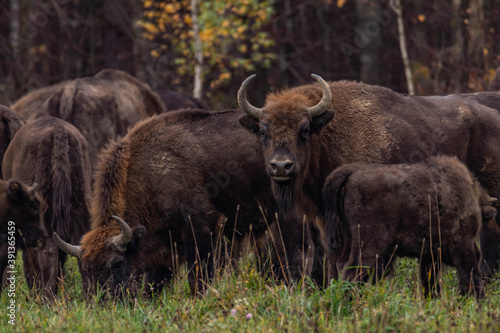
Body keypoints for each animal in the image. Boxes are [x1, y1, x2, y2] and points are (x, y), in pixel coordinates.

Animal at [54, 109, 316, 296]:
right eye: (83, 269)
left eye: (117, 264)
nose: (99, 303)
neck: (150, 174)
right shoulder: (163, 251)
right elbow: (153, 285)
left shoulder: (201, 228)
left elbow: (198, 276)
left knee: (297, 256)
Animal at [322, 156, 498, 298]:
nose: (478, 253)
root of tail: (353, 172)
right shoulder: (463, 245)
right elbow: (471, 274)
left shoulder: (429, 255)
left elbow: (430, 282)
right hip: (368, 246)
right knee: (352, 271)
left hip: (351, 239)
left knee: (342, 265)